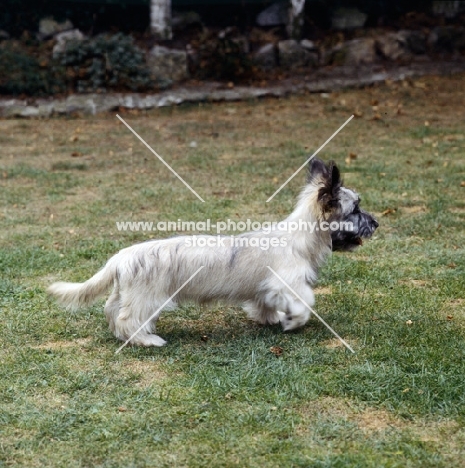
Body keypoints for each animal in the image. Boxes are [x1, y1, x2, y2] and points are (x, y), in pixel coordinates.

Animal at [47, 159, 376, 346]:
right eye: (355, 209)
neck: (300, 237)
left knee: (113, 313)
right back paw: (147, 340)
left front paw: (270, 319)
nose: (376, 222)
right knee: (128, 319)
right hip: (147, 297)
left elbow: (264, 305)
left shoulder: (267, 289)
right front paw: (293, 322)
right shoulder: (289, 284)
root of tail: (121, 257)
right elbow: (305, 302)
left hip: (126, 293)